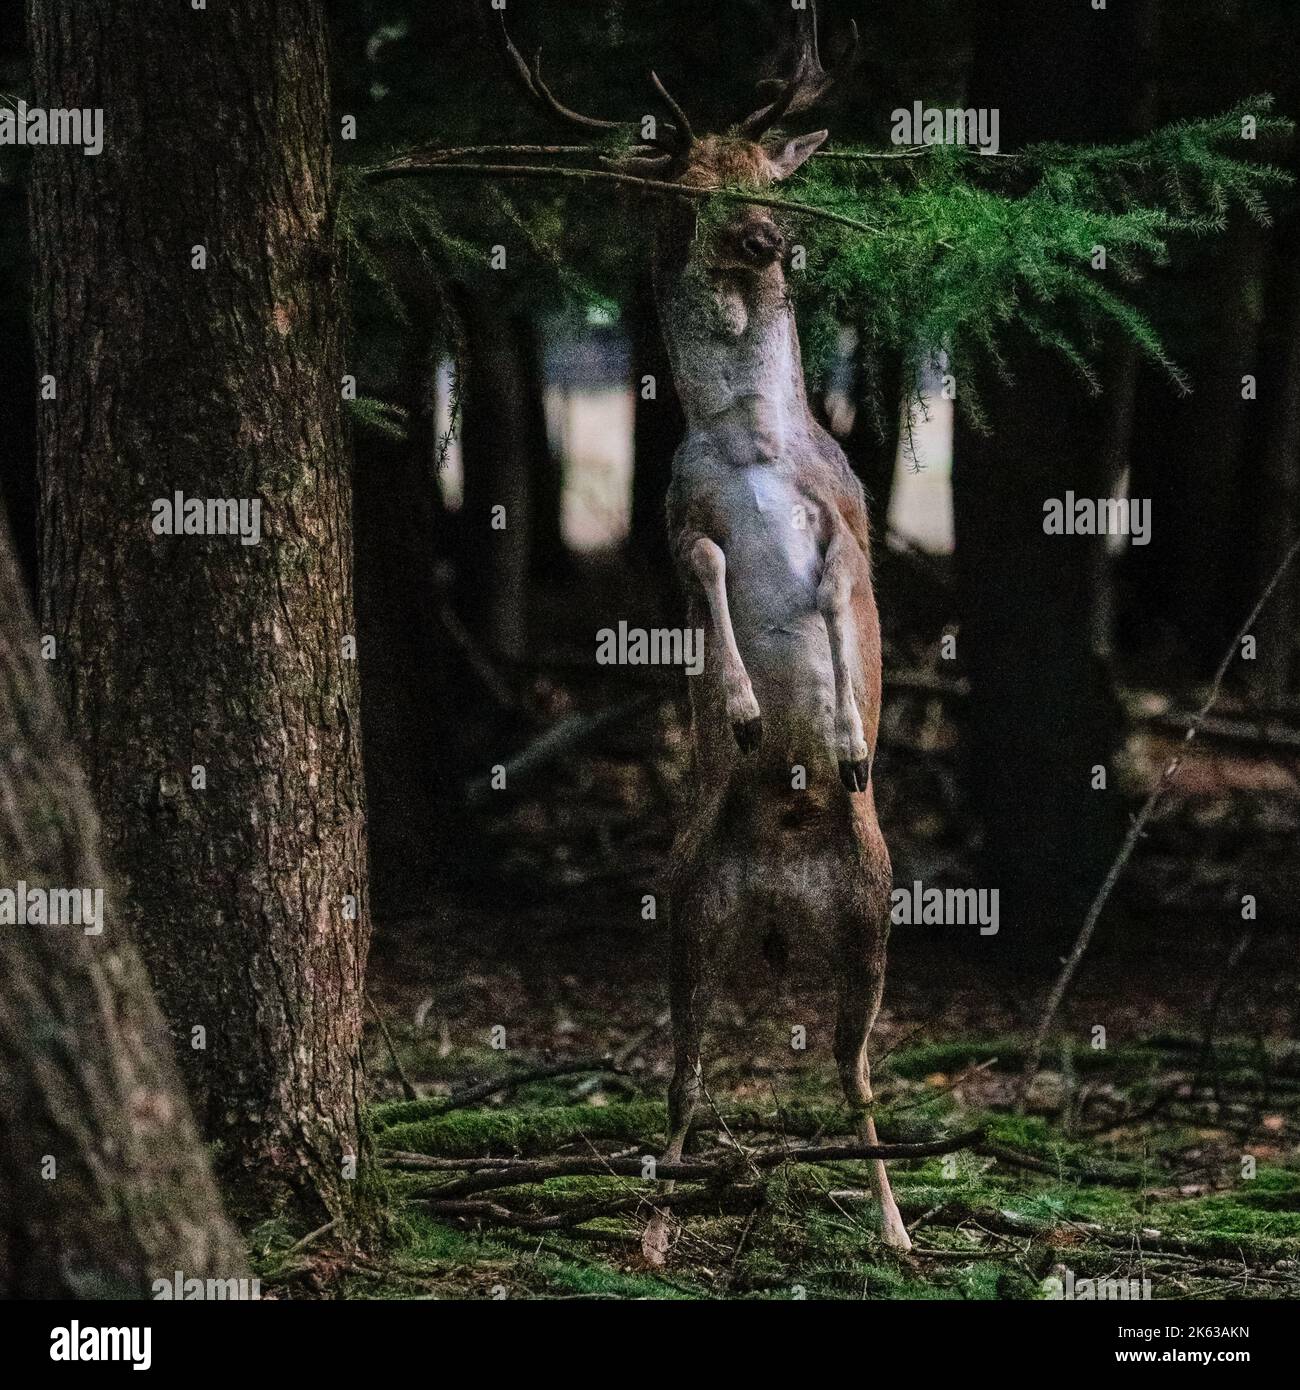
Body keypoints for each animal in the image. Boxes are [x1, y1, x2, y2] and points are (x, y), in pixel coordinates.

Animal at [488, 1, 911, 1258]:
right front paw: (741, 708)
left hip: (873, 909)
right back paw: (655, 1233)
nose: (770, 236)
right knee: (684, 1077)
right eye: (692, 185)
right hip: (687, 912)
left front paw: (842, 733)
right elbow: (718, 569)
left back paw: (895, 1230)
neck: (754, 447)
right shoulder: (677, 520)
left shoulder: (849, 518)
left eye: (768, 171)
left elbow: (836, 596)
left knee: (853, 1072)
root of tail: (777, 910)